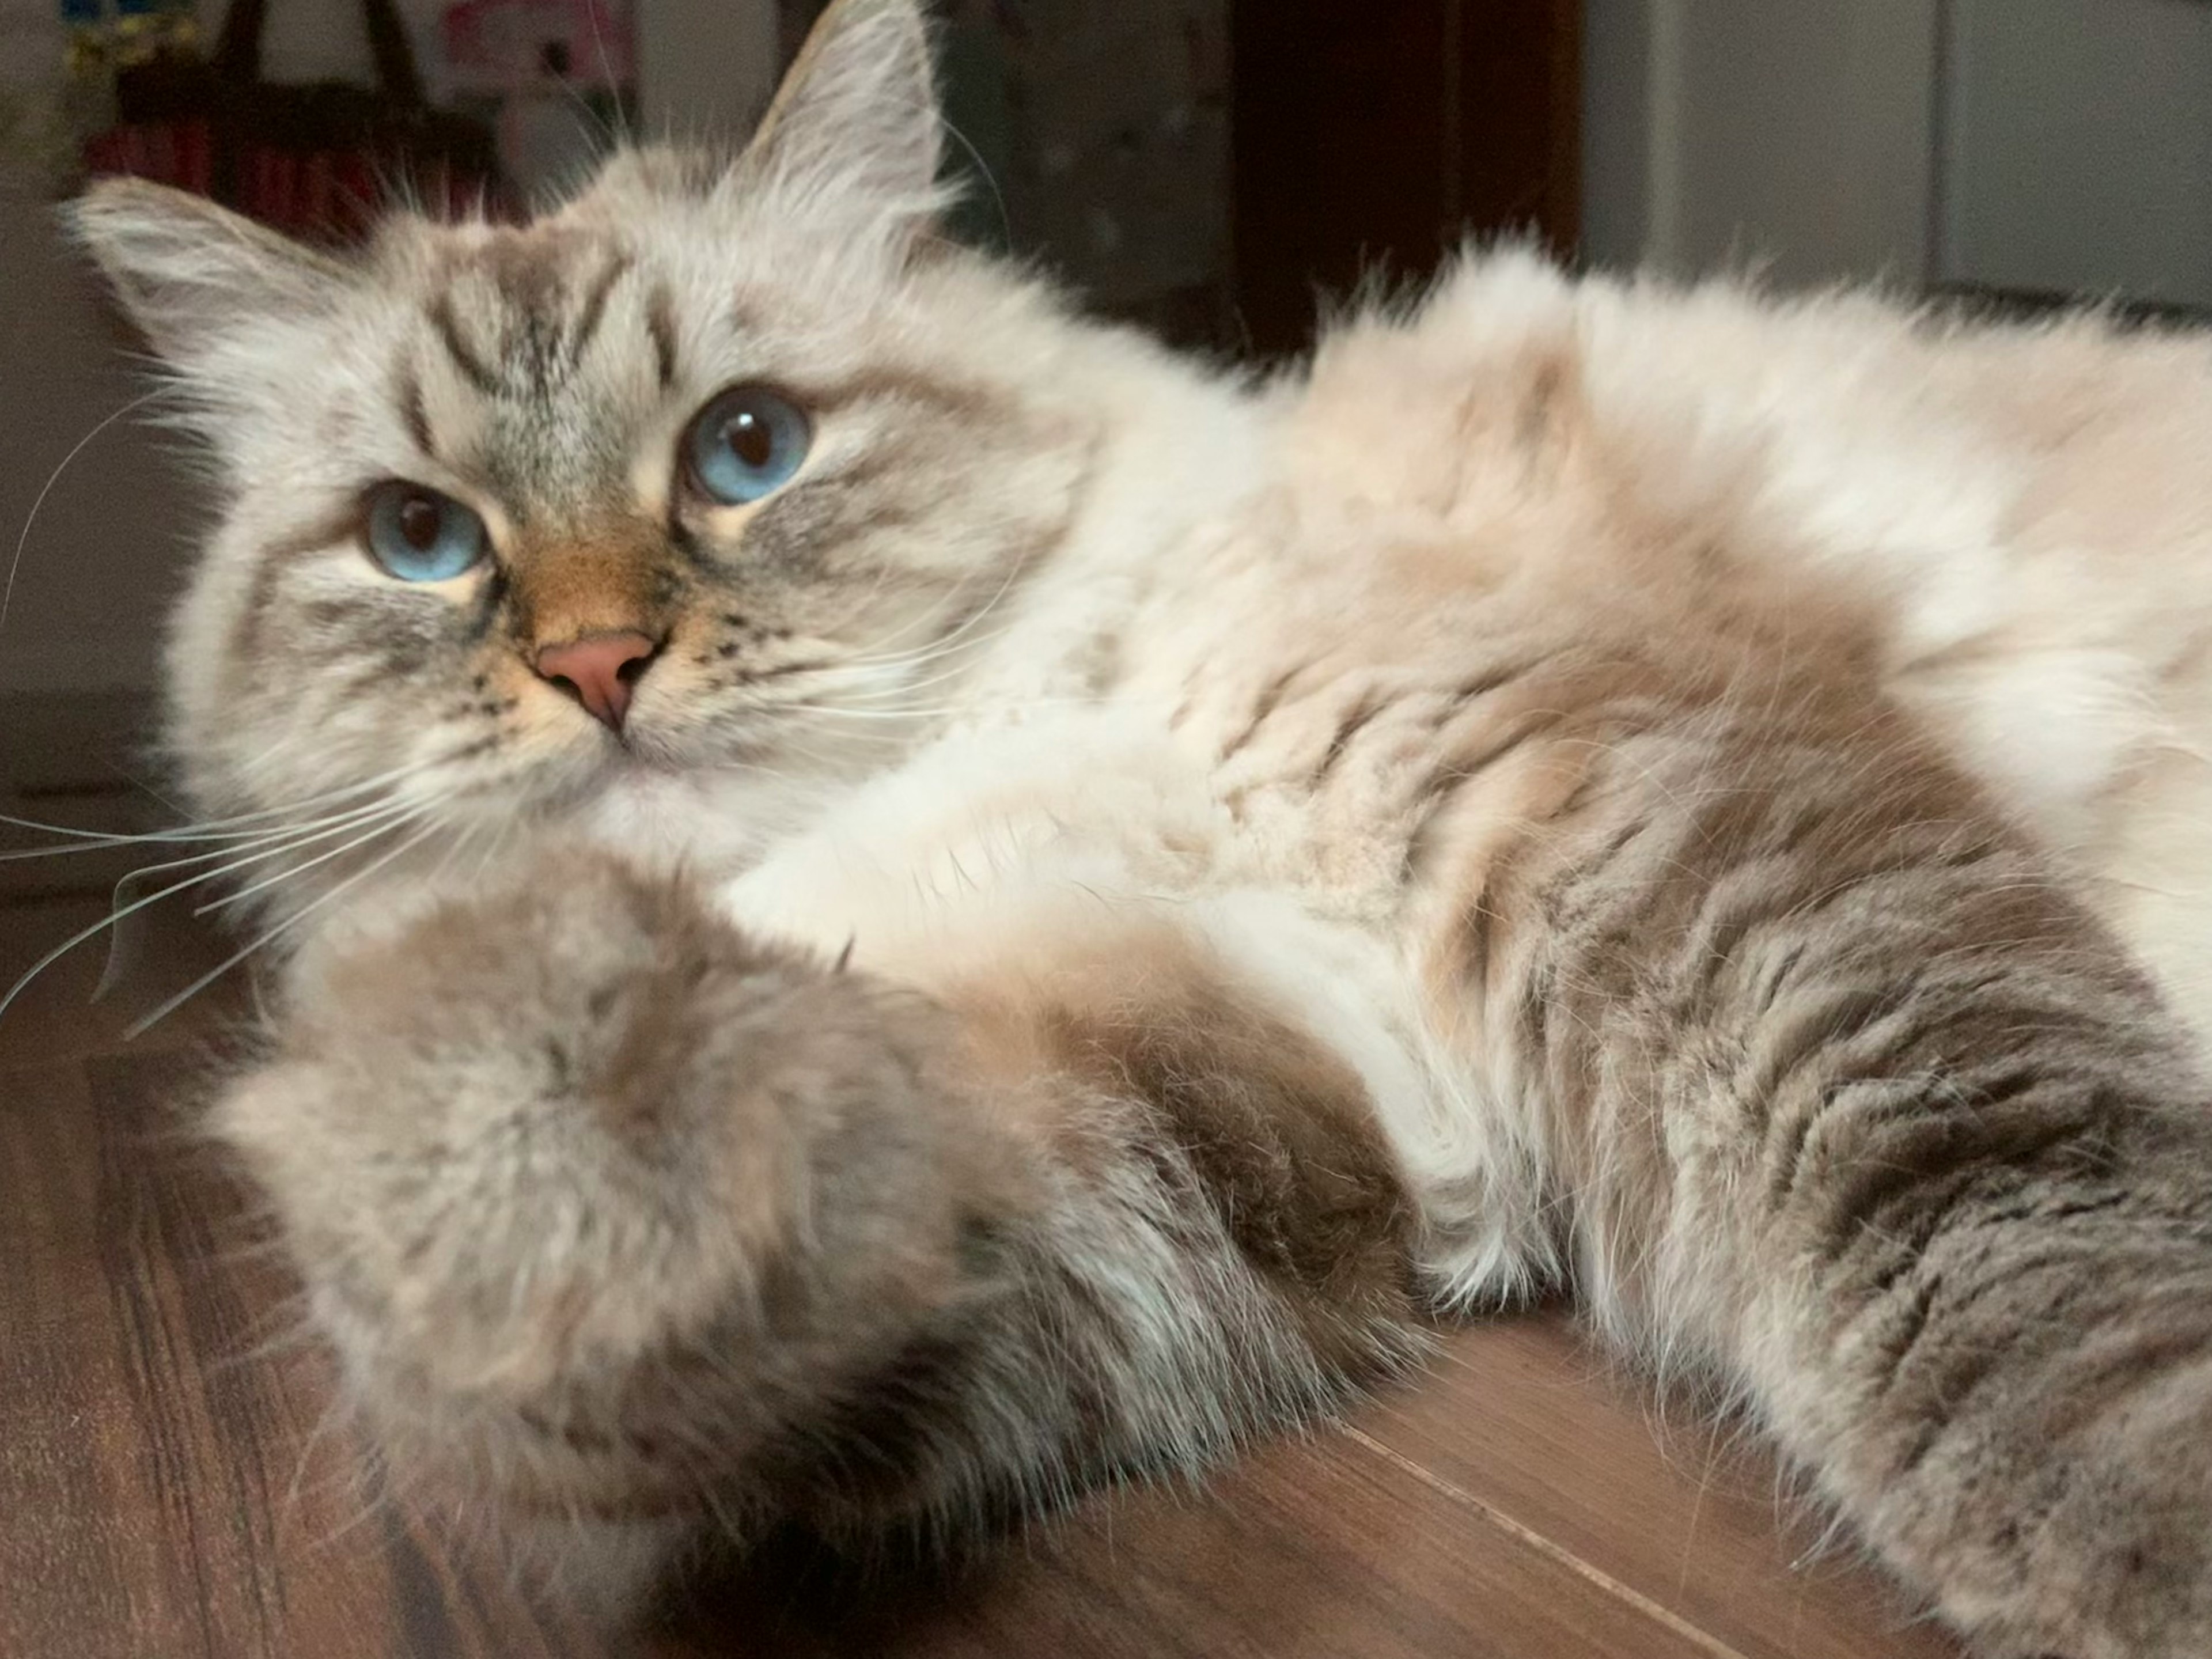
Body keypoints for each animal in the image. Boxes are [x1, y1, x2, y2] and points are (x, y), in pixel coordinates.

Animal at [56, 0, 2212, 1654]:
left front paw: (2154, 1568)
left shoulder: (1647, 822)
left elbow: (2019, 1268)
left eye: (748, 450)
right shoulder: (1218, 1071)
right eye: (422, 542)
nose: (596, 666)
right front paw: (509, 1145)